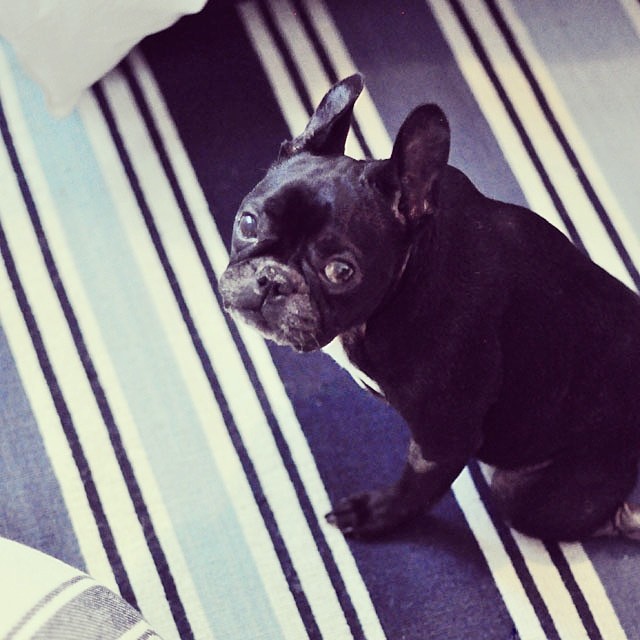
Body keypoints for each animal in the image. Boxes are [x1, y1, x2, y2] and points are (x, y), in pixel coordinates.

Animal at [221, 77, 640, 544]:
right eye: (248, 223)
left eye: (341, 271)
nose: (271, 280)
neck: (406, 279)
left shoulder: (443, 439)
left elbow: (413, 491)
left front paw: (375, 516)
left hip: (527, 491)